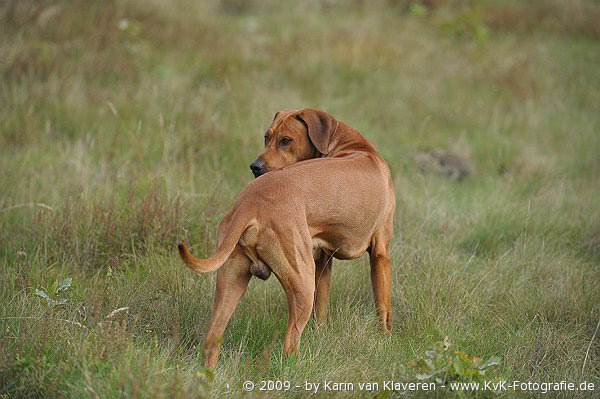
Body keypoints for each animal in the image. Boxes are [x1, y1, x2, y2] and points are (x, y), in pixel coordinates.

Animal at [177, 108, 394, 368]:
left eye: (285, 140)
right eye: (267, 137)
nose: (255, 166)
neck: (353, 145)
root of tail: (249, 202)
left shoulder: (322, 260)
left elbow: (322, 308)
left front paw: (321, 333)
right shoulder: (381, 254)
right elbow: (384, 306)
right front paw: (385, 340)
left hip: (231, 279)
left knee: (212, 337)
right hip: (302, 281)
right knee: (290, 342)